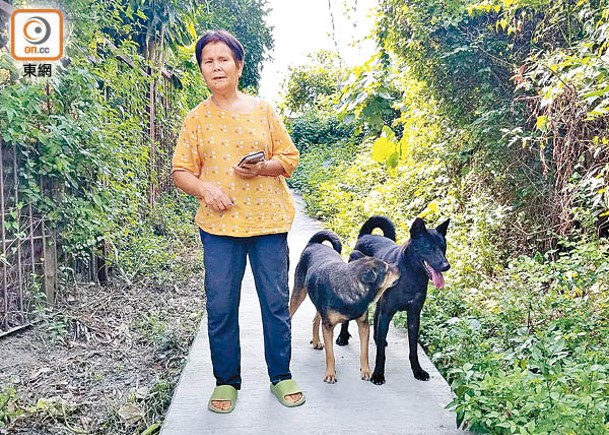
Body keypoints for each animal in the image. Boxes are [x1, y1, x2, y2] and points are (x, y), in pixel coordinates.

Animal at [288, 230, 400, 384]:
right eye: (387, 269)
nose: (400, 267)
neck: (352, 287)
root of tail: (313, 243)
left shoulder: (363, 325)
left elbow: (364, 352)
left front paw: (366, 371)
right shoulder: (328, 327)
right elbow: (330, 355)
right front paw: (330, 374)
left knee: (316, 319)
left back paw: (316, 341)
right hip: (299, 293)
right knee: (290, 313)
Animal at [334, 217, 448, 384]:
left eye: (443, 247)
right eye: (429, 247)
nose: (446, 266)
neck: (411, 274)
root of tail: (365, 235)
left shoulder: (413, 316)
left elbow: (413, 349)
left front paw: (418, 371)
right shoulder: (387, 313)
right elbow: (381, 354)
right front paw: (378, 374)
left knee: (377, 316)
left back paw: (377, 338)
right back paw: (343, 337)